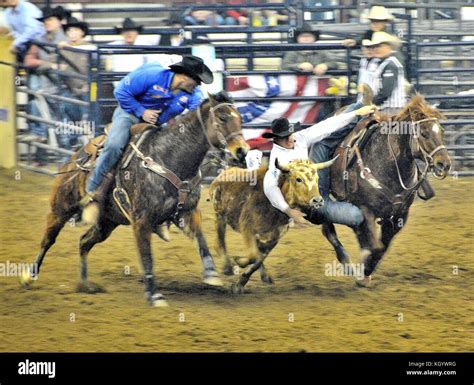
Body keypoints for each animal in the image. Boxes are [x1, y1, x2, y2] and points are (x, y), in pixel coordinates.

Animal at [20, 91, 250, 304]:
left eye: (240, 117)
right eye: (222, 117)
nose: (242, 151)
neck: (169, 158)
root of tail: (73, 159)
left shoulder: (188, 212)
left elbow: (201, 240)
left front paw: (212, 274)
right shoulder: (142, 220)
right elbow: (147, 257)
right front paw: (154, 295)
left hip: (106, 223)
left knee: (84, 242)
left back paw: (85, 284)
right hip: (60, 209)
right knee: (48, 240)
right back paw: (28, 277)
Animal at [312, 94, 452, 284]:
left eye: (442, 131)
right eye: (423, 133)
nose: (444, 164)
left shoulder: (400, 215)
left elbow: (382, 246)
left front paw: (366, 271)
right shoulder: (365, 209)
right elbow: (375, 245)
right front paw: (363, 273)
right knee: (328, 227)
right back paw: (346, 261)